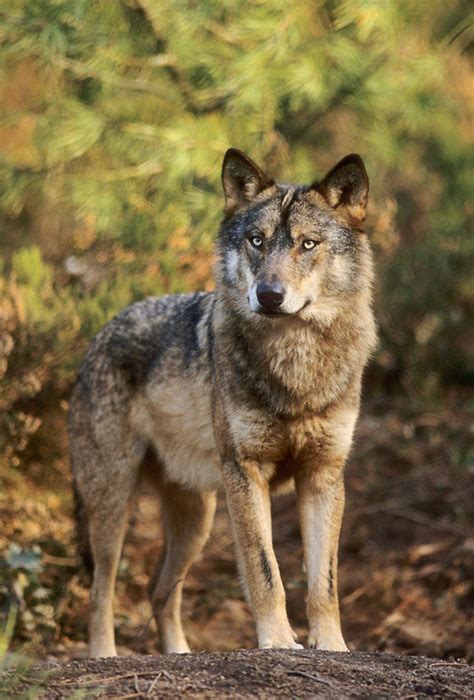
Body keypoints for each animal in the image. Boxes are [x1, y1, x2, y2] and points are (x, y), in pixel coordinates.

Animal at [68, 148, 376, 656]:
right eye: (256, 240)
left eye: (308, 244)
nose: (268, 295)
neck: (295, 364)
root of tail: (97, 337)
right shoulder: (245, 473)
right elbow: (265, 570)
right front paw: (278, 642)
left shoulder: (324, 476)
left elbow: (324, 581)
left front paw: (332, 645)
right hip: (115, 507)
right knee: (100, 592)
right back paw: (104, 655)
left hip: (198, 519)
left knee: (159, 591)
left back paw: (179, 654)